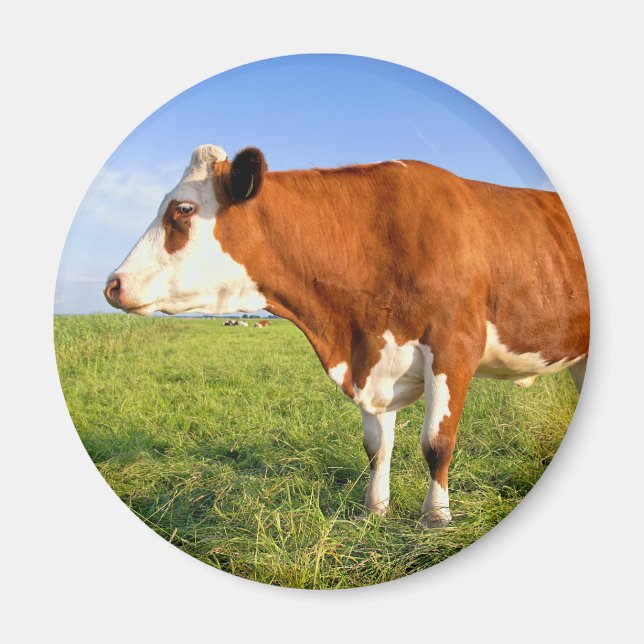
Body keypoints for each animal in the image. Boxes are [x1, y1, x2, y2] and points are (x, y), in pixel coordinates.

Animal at [104, 144, 589, 528]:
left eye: (183, 210)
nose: (113, 283)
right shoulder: (373, 357)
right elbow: (376, 447)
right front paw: (374, 510)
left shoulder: (453, 347)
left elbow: (436, 443)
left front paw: (435, 518)